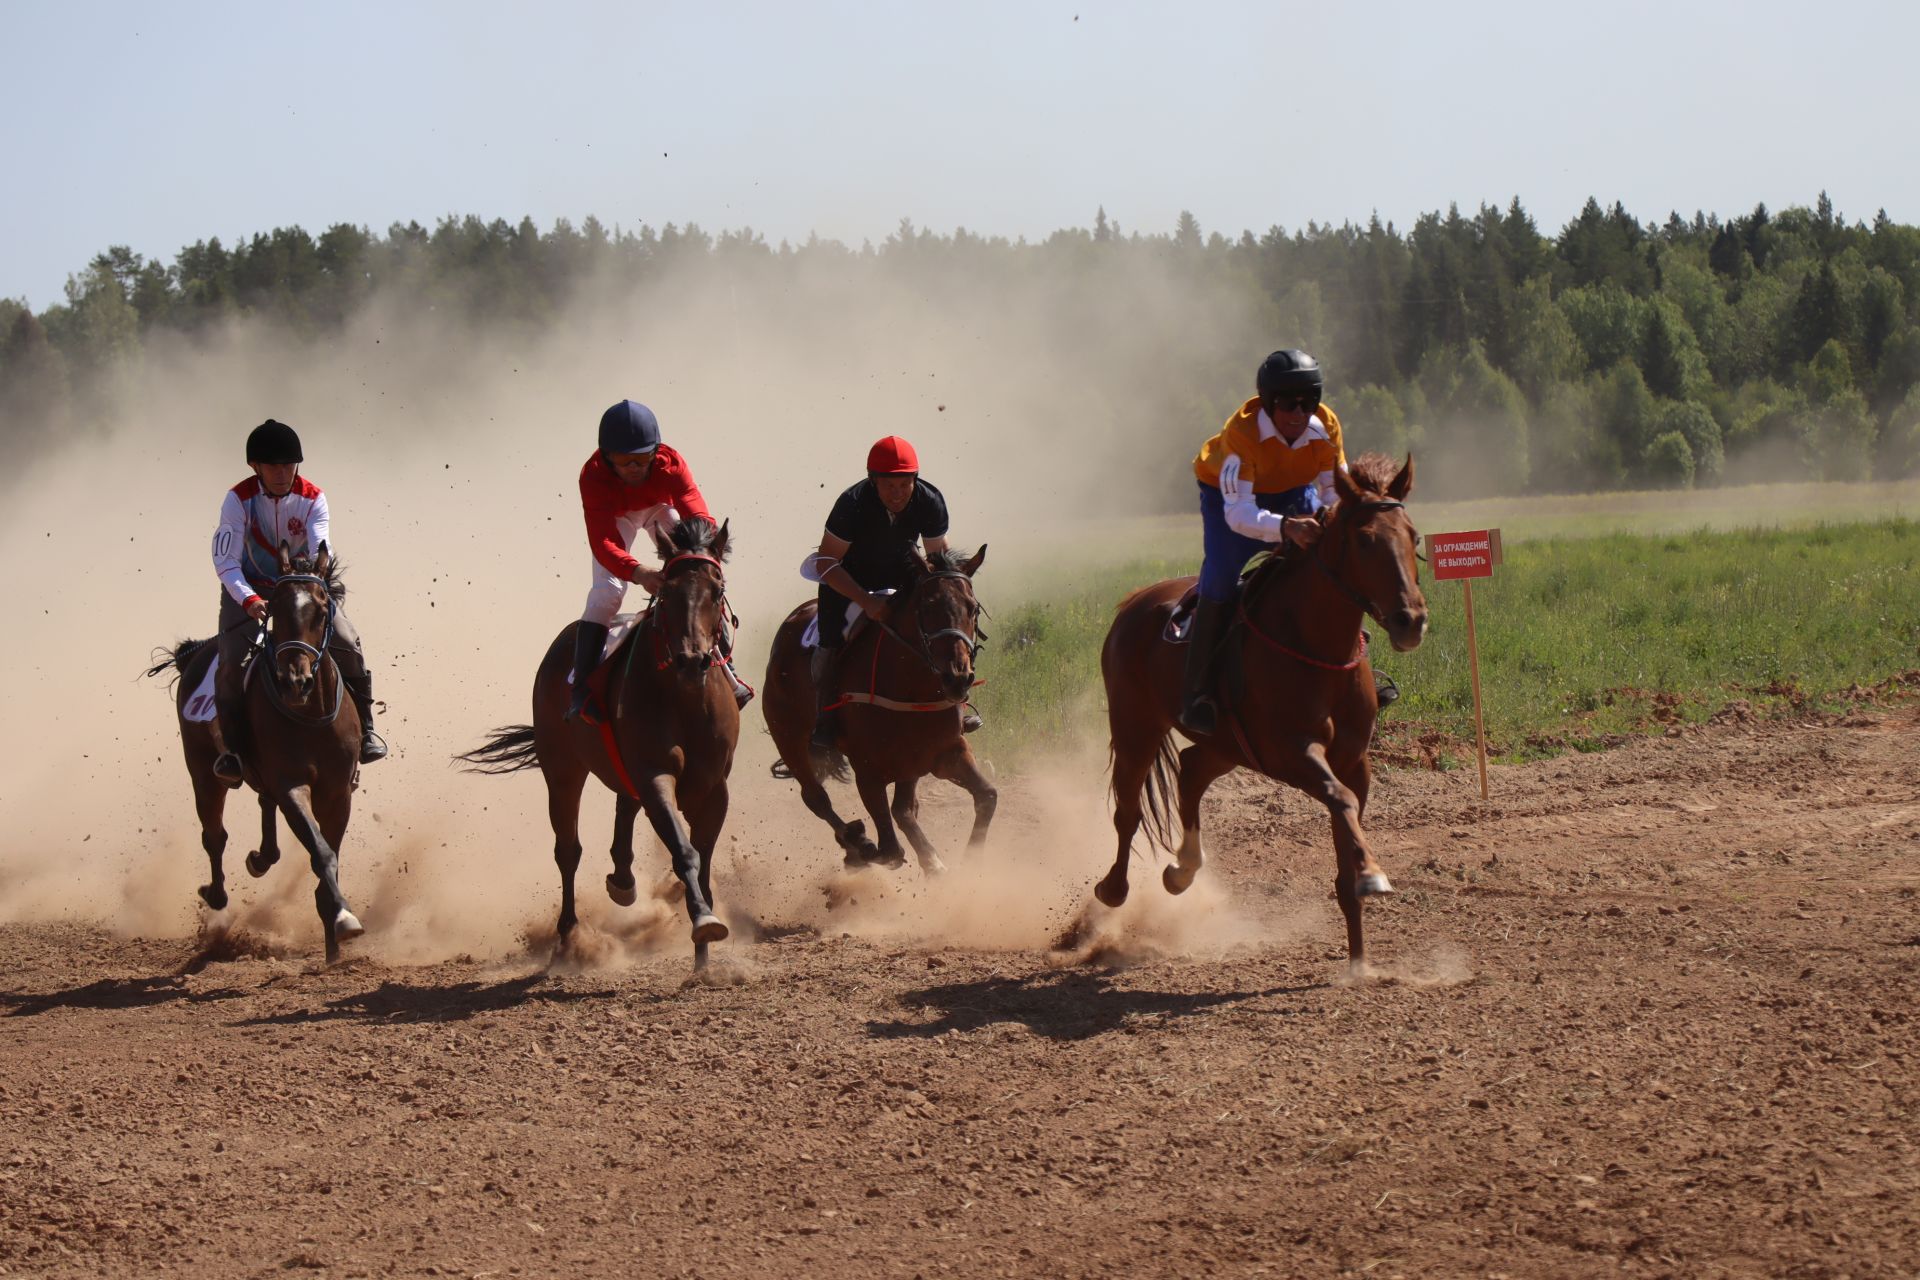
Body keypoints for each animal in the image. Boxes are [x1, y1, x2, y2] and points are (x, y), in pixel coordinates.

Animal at [146, 537, 366, 959]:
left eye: (322, 609)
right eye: (275, 609)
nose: (295, 681)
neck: (309, 714)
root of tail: (195, 653)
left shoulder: (337, 790)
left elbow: (330, 851)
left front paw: (334, 928)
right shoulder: (291, 783)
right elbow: (320, 851)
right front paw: (344, 918)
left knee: (263, 807)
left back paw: (262, 858)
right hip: (203, 770)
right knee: (214, 835)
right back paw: (215, 894)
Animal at [456, 514, 741, 967]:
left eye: (717, 591)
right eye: (667, 592)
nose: (692, 660)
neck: (684, 697)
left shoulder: (714, 787)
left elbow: (704, 858)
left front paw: (704, 955)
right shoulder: (655, 774)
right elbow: (684, 851)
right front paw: (703, 923)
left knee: (624, 808)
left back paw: (622, 882)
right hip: (562, 768)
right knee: (568, 849)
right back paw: (570, 934)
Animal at [756, 545, 998, 875]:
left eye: (972, 609)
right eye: (928, 607)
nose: (958, 677)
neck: (909, 686)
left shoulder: (942, 751)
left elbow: (986, 796)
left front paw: (968, 863)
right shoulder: (868, 768)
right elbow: (891, 848)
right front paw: (870, 846)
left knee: (903, 808)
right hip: (788, 736)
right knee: (816, 798)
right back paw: (856, 844)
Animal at [1098, 454, 1428, 974]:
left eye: (1412, 537)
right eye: (1364, 539)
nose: (1410, 620)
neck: (1316, 646)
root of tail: (1135, 601)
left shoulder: (1353, 761)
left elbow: (1346, 817)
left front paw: (1359, 958)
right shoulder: (1293, 754)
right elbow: (1339, 800)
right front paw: (1373, 874)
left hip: (1226, 746)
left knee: (1191, 770)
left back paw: (1182, 870)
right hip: (1136, 727)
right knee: (1128, 809)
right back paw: (1113, 888)